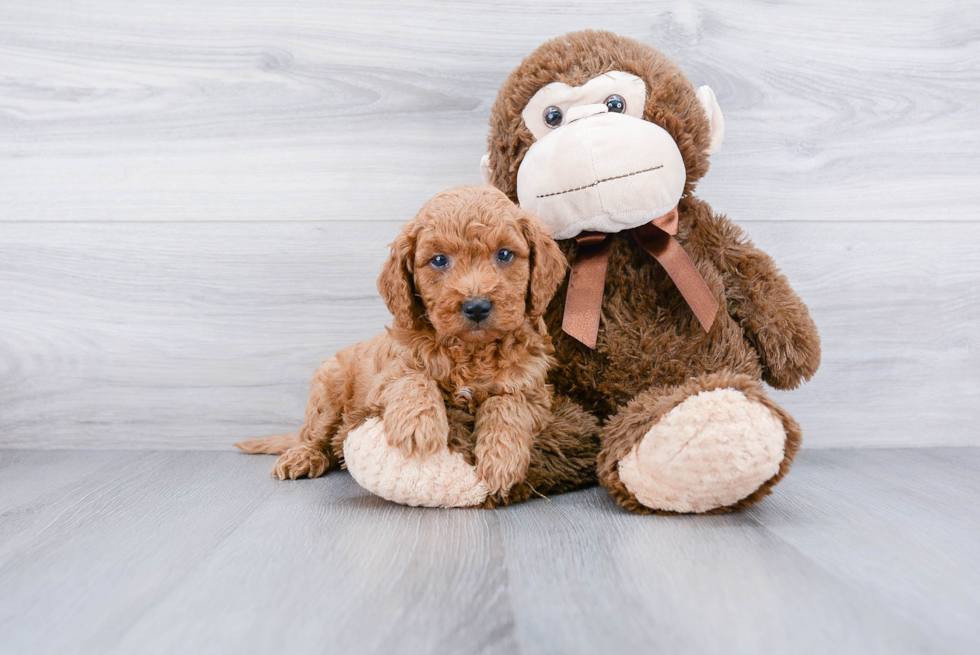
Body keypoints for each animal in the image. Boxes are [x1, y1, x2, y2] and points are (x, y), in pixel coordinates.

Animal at [236, 184, 568, 498]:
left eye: (504, 254)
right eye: (439, 260)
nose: (476, 307)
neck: (470, 350)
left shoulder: (533, 388)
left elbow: (507, 404)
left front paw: (501, 459)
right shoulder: (389, 374)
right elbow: (414, 379)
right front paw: (418, 427)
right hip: (328, 388)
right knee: (316, 436)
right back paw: (302, 456)